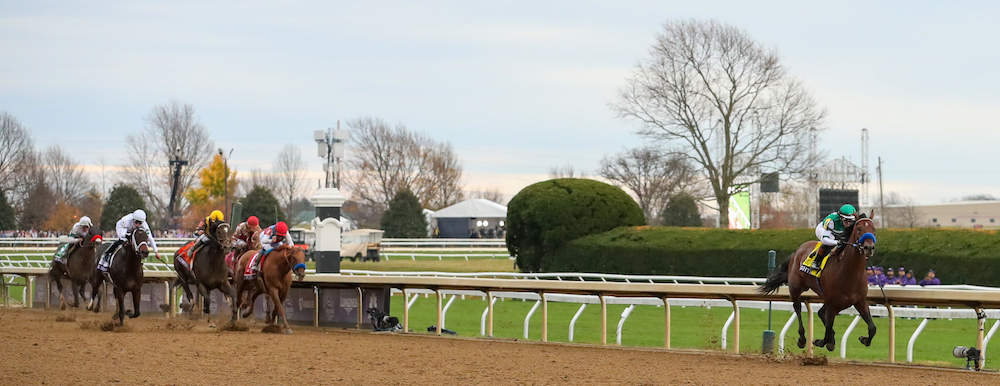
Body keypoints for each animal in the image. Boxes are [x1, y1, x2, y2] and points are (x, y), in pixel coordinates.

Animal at [760, 205, 880, 352]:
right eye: (859, 229)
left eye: (873, 229)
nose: (869, 247)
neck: (849, 273)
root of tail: (797, 251)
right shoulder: (833, 304)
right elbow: (827, 333)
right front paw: (821, 341)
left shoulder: (860, 301)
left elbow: (872, 328)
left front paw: (864, 339)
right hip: (795, 288)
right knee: (798, 307)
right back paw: (802, 339)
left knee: (821, 313)